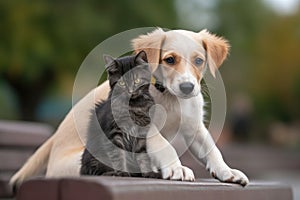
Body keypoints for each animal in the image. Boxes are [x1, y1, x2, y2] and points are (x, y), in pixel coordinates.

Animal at [9, 27, 248, 188]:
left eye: (199, 61)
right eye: (170, 60)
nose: (188, 88)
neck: (170, 98)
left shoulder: (194, 128)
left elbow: (212, 150)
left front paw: (227, 171)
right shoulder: (146, 128)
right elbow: (164, 146)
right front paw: (177, 167)